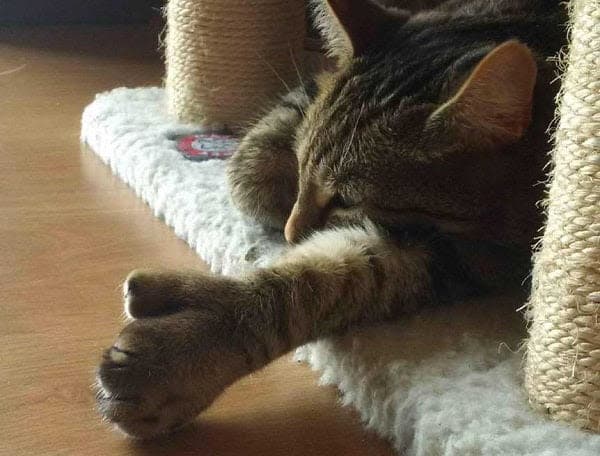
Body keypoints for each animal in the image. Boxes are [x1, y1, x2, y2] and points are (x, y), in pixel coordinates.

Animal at [96, 0, 564, 438]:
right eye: (301, 162)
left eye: (347, 199)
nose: (291, 232)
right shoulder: (309, 93)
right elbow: (252, 165)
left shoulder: (474, 257)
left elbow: (331, 280)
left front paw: (182, 352)